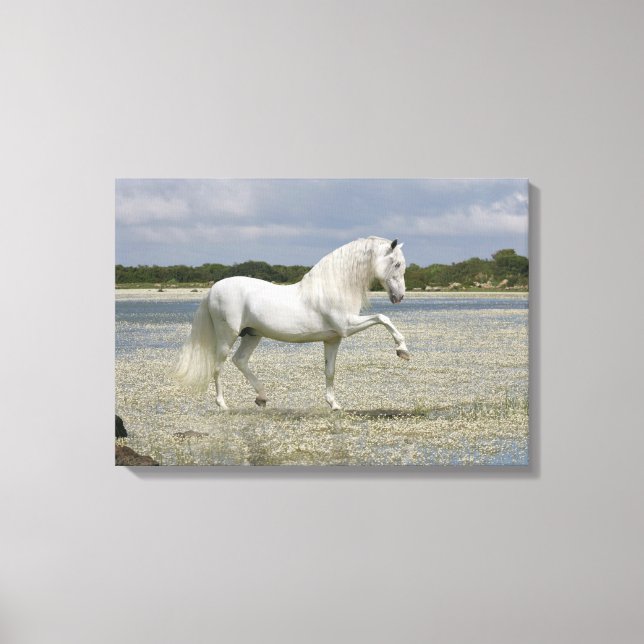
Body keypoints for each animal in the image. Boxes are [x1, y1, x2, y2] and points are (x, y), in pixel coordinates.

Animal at [173, 236, 409, 411]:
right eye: (396, 264)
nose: (399, 297)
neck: (333, 287)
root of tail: (212, 290)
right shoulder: (347, 326)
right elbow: (383, 318)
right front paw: (402, 350)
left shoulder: (333, 339)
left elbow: (330, 371)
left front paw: (334, 404)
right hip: (227, 336)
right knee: (218, 366)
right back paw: (223, 405)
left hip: (252, 334)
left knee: (240, 360)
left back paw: (262, 398)